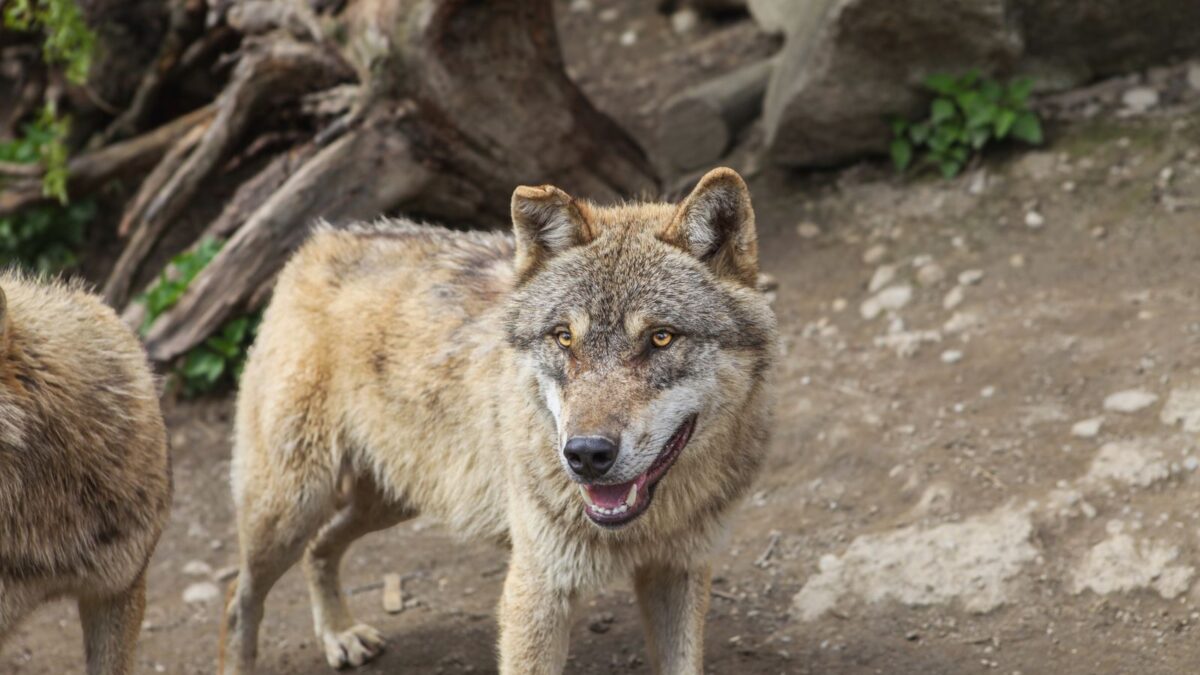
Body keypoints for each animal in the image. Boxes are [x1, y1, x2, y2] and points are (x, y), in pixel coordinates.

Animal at [219, 167, 777, 674]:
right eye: (563, 338)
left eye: (661, 338)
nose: (585, 455)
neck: (647, 525)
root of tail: (320, 241)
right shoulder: (536, 590)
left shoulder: (678, 572)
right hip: (290, 509)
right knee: (237, 600)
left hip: (394, 497)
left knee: (320, 548)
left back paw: (339, 634)